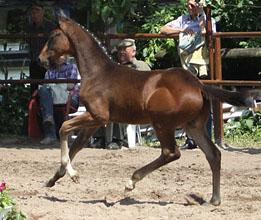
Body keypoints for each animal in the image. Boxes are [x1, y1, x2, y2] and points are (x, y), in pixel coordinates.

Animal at [38, 15, 252, 206]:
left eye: (53, 36)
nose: (41, 59)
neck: (97, 73)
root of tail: (199, 85)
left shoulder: (98, 116)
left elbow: (64, 128)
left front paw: (73, 174)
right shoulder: (94, 120)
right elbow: (76, 145)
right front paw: (53, 180)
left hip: (161, 122)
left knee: (171, 152)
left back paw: (131, 181)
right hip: (193, 126)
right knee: (213, 154)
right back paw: (213, 200)